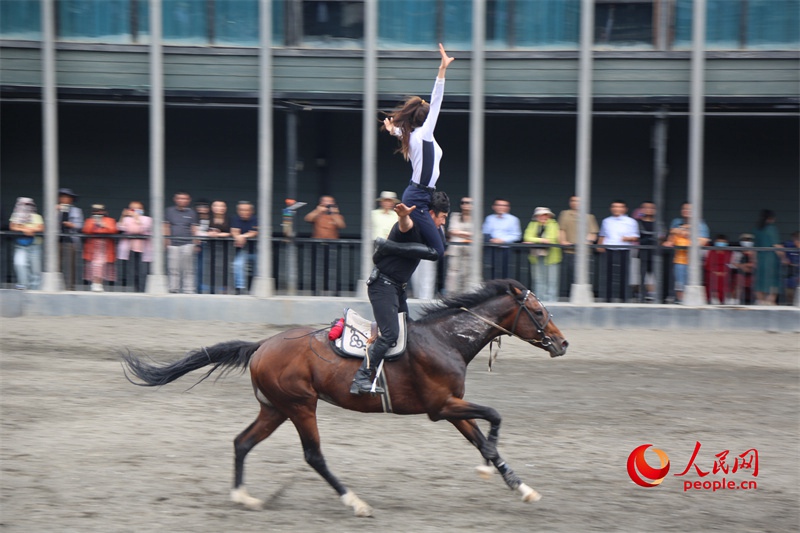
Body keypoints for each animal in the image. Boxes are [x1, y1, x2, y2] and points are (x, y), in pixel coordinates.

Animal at [120, 278, 568, 516]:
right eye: (539, 312)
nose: (563, 343)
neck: (446, 339)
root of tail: (262, 345)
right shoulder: (441, 408)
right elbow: (495, 416)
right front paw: (491, 467)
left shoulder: (453, 407)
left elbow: (483, 437)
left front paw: (521, 487)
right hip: (301, 406)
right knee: (314, 456)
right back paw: (355, 502)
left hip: (276, 409)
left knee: (242, 442)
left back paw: (243, 496)